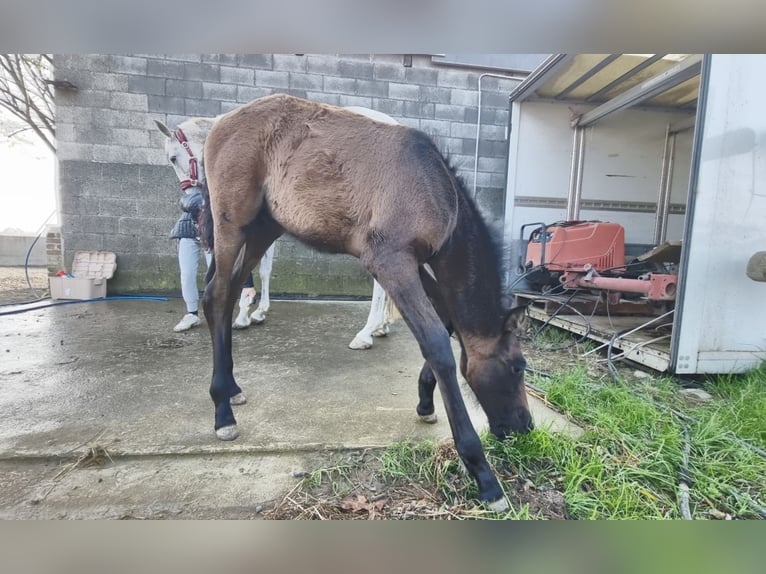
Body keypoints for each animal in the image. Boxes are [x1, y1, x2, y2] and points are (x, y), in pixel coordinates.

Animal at [156, 110, 396, 348]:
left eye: (173, 158)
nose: (189, 200)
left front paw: (245, 313)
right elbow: (264, 269)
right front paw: (257, 312)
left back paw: (367, 332)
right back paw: (381, 326)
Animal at [202, 94, 536, 512]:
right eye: (517, 367)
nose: (526, 426)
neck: (437, 190)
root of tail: (220, 122)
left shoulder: (414, 264)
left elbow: (444, 324)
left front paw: (425, 402)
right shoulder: (389, 260)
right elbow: (437, 343)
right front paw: (484, 475)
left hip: (264, 227)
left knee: (224, 294)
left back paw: (231, 387)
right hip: (232, 221)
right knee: (217, 296)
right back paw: (222, 411)